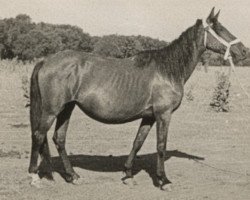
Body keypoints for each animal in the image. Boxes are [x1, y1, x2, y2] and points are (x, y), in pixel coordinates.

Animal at [28, 7, 247, 189]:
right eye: (220, 29)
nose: (244, 50)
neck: (168, 69)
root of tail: (45, 60)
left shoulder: (148, 116)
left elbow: (137, 143)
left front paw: (128, 175)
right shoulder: (163, 114)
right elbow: (161, 146)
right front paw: (163, 181)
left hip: (67, 108)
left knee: (59, 138)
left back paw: (72, 176)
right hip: (52, 110)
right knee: (38, 135)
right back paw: (34, 177)